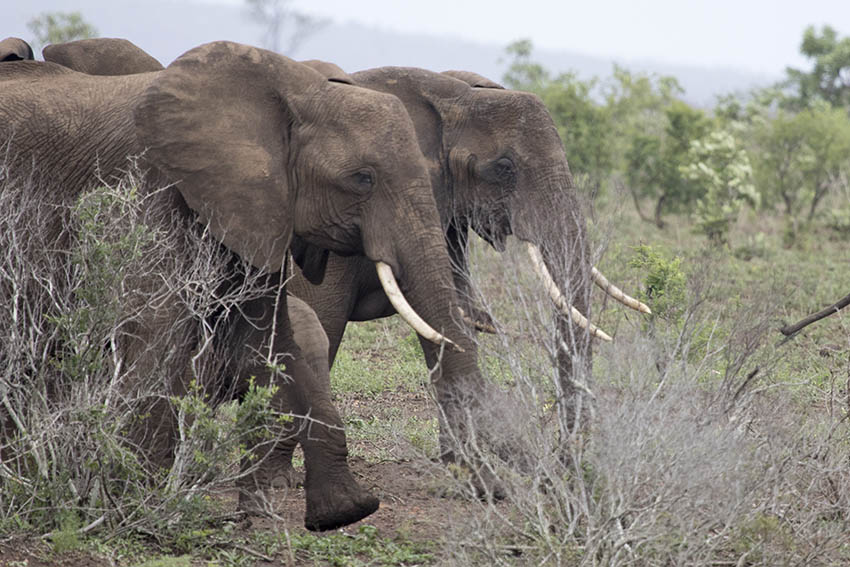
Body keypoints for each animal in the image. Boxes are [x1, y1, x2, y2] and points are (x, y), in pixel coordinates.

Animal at [0, 41, 470, 532]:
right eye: (363, 178)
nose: (476, 484)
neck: (297, 91)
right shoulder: (153, 192)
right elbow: (155, 333)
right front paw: (134, 510)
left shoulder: (257, 209)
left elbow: (272, 343)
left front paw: (343, 512)